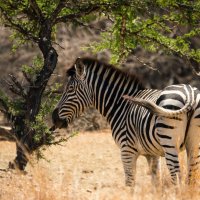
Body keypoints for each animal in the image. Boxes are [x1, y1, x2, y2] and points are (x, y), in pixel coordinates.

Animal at [52, 57, 200, 188]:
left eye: (70, 89)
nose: (54, 118)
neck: (121, 105)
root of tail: (190, 94)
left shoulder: (126, 149)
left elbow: (130, 183)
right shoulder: (152, 153)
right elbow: (155, 182)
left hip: (169, 142)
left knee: (177, 177)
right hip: (194, 144)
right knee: (191, 178)